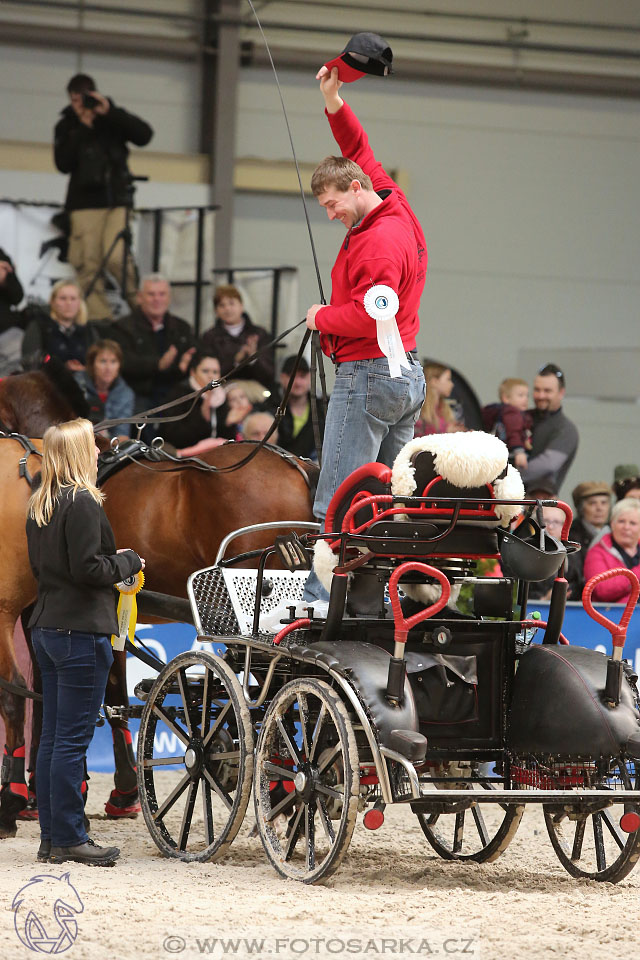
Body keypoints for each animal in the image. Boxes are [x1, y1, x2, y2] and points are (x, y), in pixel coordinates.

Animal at [0, 368, 316, 832]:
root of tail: (295, 463)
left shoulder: (39, 612)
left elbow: (56, 688)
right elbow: (103, 689)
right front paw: (117, 788)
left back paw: (277, 782)